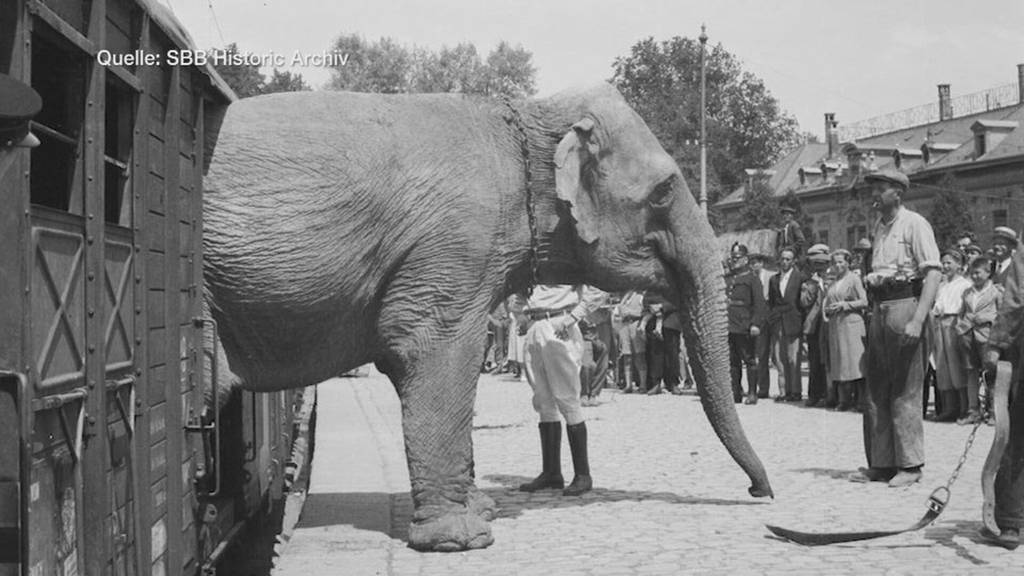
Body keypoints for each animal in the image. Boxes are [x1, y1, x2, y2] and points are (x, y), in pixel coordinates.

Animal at [201, 83, 774, 549]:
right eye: (663, 192)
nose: (760, 492)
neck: (527, 117)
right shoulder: (454, 246)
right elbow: (432, 352)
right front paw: (464, 539)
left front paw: (485, 511)